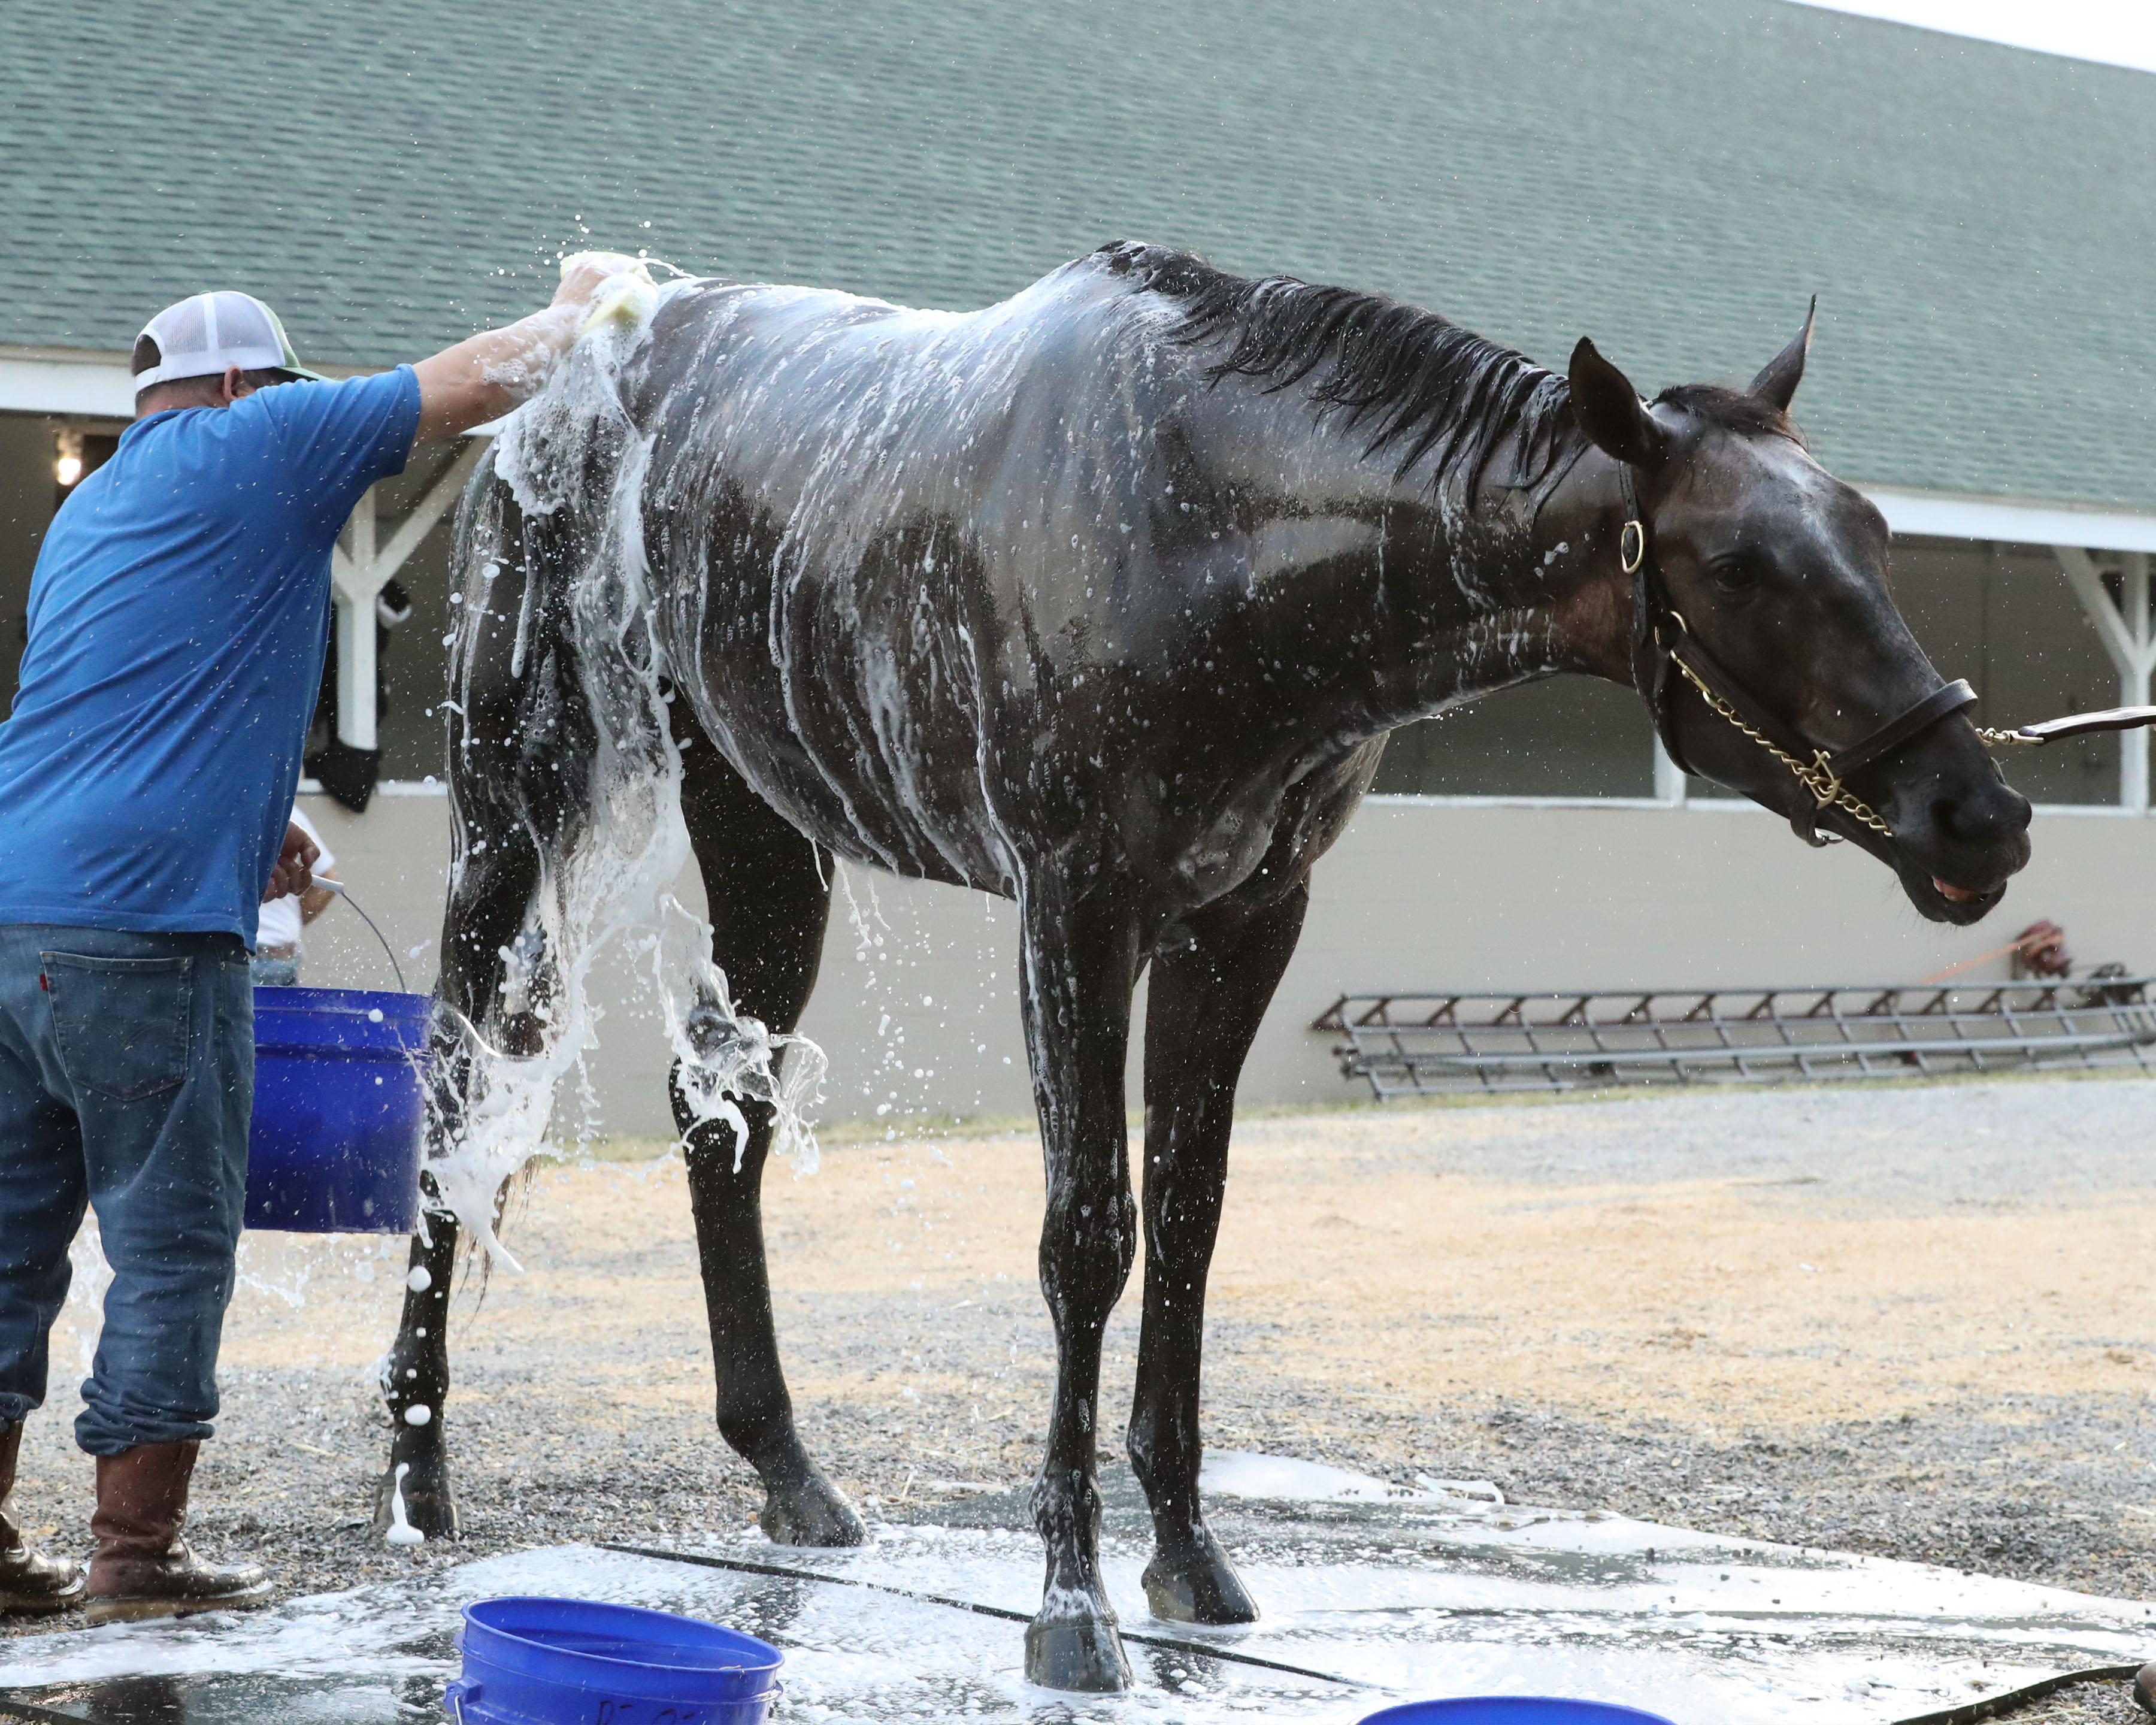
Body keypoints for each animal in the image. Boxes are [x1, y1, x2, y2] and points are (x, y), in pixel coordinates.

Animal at [371, 240, 2033, 1692]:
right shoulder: (1074, 909)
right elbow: (1087, 1238)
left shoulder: (1244, 920)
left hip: (768, 832)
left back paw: (787, 1470)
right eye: (1738, 561)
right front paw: (1069, 1608)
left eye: (1874, 532)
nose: (1980, 813)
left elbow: (1187, 1222)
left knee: (726, 1115)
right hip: (513, 805)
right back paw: (415, 1475)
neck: (1210, 520)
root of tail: (571, 355)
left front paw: (1186, 1560)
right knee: (451, 1097)